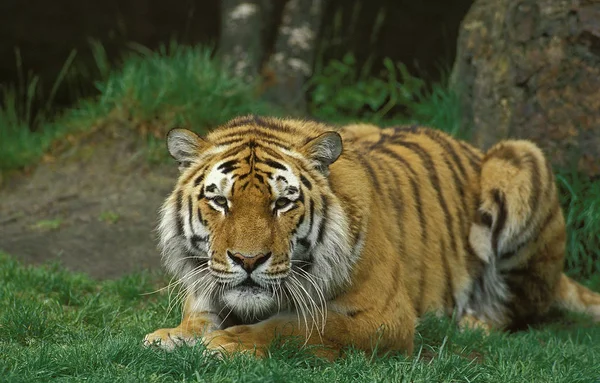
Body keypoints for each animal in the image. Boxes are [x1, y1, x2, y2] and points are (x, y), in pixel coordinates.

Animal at [144, 115, 600, 360]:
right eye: (219, 201)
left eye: (282, 202)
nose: (248, 260)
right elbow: (198, 314)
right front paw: (171, 337)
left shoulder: (385, 317)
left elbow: (302, 327)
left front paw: (226, 342)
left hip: (520, 159)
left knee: (524, 306)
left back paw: (474, 323)